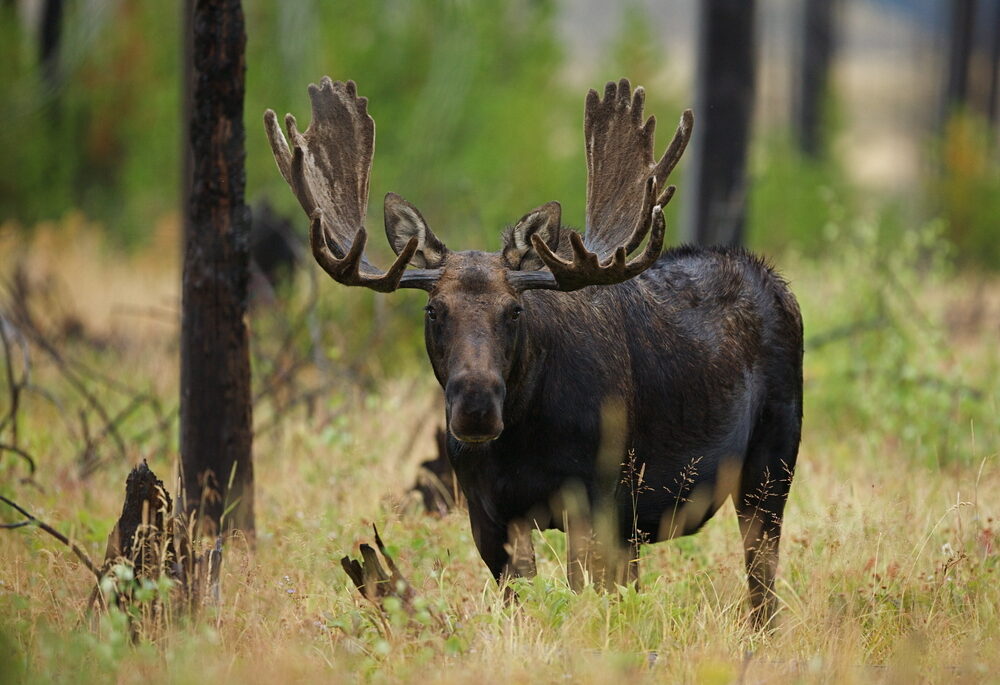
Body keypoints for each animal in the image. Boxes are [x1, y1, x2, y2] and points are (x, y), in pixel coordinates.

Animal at [264, 77, 803, 629]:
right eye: (433, 310)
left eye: (515, 310)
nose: (476, 407)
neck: (522, 438)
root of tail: (777, 282)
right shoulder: (490, 513)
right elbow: (521, 599)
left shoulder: (592, 497)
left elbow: (581, 594)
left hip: (771, 463)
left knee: (761, 577)